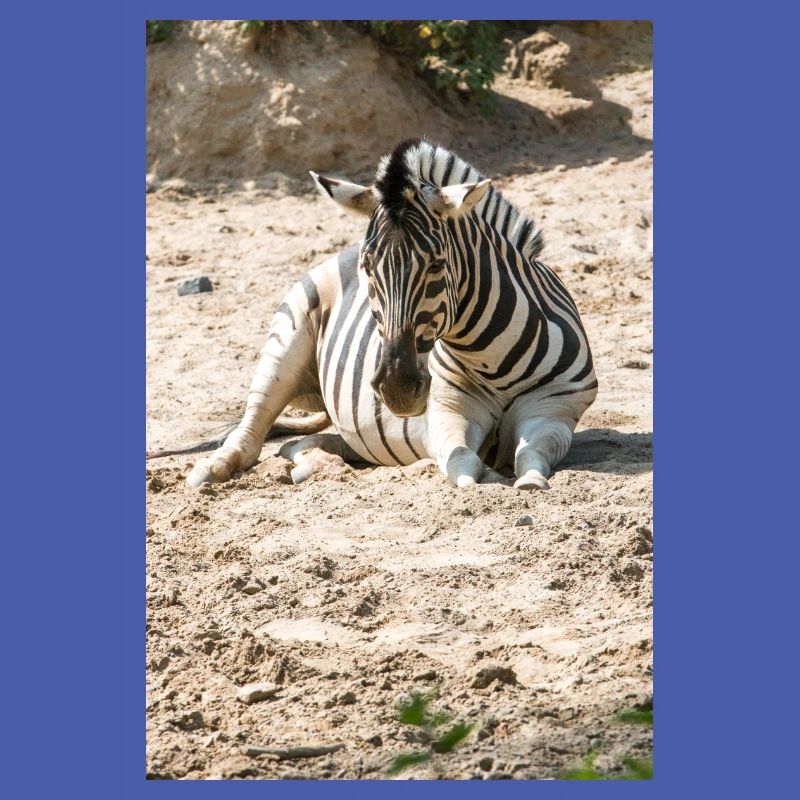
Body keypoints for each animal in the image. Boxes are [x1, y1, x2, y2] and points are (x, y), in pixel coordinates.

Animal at [184, 138, 597, 490]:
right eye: (368, 267)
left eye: (437, 264)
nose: (397, 388)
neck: (489, 357)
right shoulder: (447, 411)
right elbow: (463, 463)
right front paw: (484, 479)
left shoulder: (555, 410)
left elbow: (531, 454)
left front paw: (530, 481)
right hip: (286, 340)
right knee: (254, 423)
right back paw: (212, 469)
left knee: (306, 444)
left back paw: (313, 465)